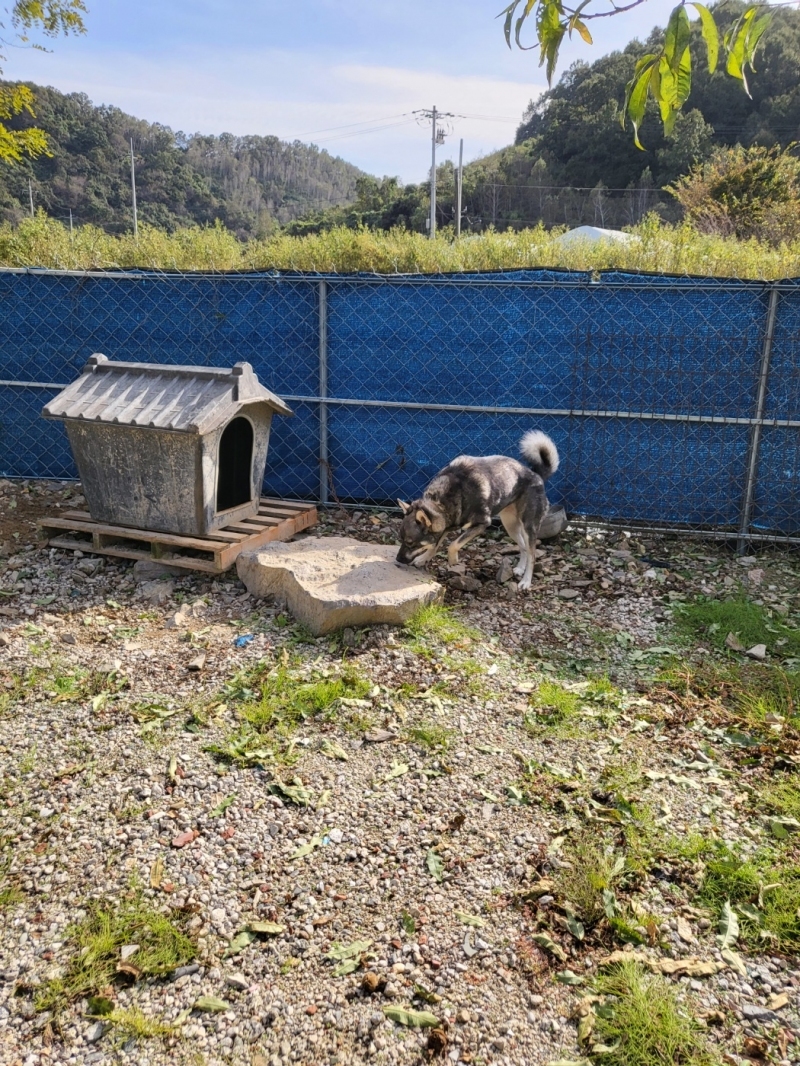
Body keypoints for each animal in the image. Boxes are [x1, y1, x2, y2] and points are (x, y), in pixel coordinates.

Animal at [395, 430, 559, 590]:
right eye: (401, 539)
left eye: (410, 542)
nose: (398, 559)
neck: (441, 502)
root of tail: (537, 475)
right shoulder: (445, 527)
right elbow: (435, 544)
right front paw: (423, 558)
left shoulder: (481, 524)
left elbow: (453, 544)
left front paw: (452, 559)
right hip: (510, 527)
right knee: (523, 547)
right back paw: (519, 568)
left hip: (528, 528)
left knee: (532, 555)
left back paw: (526, 581)